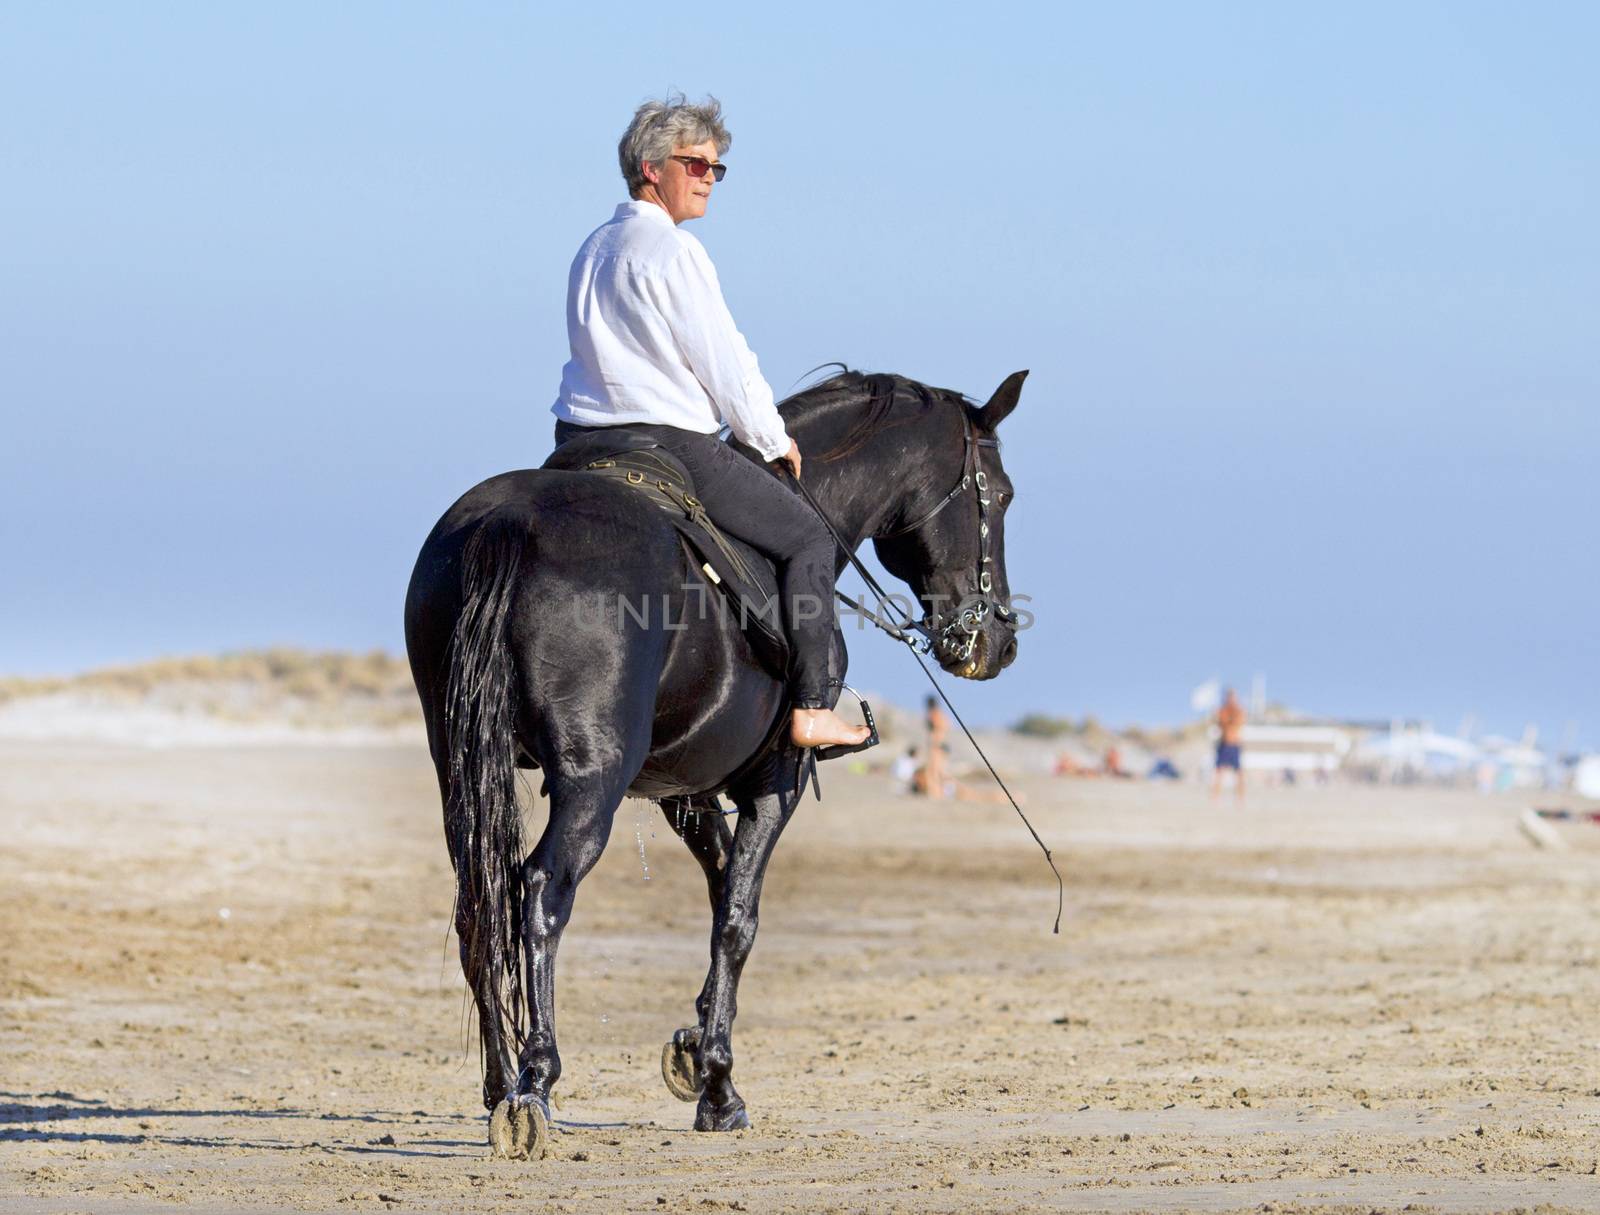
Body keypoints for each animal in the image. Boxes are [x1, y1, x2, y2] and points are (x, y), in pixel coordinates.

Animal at [400, 366, 1024, 1152]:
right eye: (1000, 494)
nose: (998, 642)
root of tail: (509, 522)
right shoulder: (776, 782)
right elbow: (737, 917)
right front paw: (719, 1084)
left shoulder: (685, 793)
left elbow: (720, 886)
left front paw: (694, 1049)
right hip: (591, 781)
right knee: (541, 891)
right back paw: (533, 1086)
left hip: (460, 766)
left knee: (477, 909)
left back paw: (499, 1081)